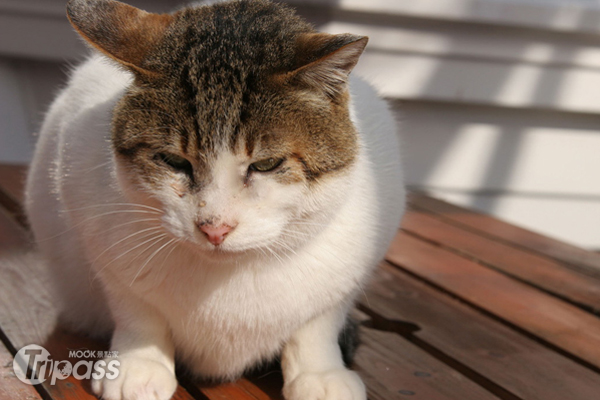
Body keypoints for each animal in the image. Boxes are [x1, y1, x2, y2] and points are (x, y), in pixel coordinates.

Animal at [25, 0, 406, 400]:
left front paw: (319, 373)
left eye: (266, 164)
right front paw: (137, 363)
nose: (214, 228)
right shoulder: (96, 234)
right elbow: (136, 309)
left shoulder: (354, 264)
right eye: (173, 160)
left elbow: (318, 323)